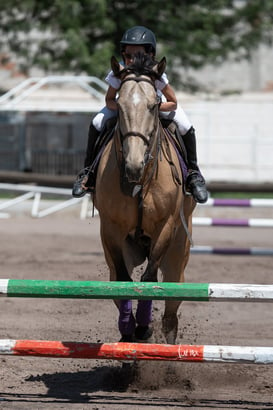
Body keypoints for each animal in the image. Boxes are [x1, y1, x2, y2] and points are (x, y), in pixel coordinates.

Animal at [94, 53, 196, 342]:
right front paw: (130, 326)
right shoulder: (111, 230)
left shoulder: (166, 227)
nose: (133, 166)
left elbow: (149, 279)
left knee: (170, 314)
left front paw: (142, 324)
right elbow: (123, 282)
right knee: (118, 278)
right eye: (119, 104)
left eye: (153, 106)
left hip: (177, 255)